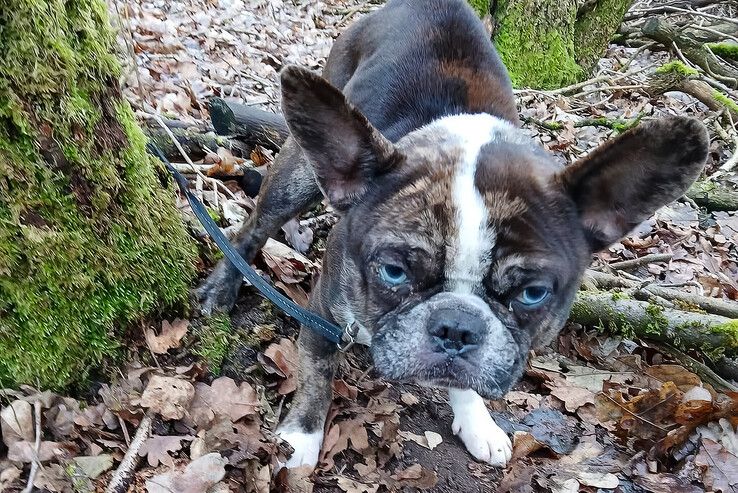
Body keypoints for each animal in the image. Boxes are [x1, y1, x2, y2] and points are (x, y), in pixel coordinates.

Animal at [196, 0, 708, 468]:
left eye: (533, 293)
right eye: (393, 271)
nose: (456, 327)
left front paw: (477, 420)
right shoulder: (323, 309)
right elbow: (317, 371)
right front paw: (300, 438)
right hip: (300, 170)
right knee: (253, 227)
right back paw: (222, 287)